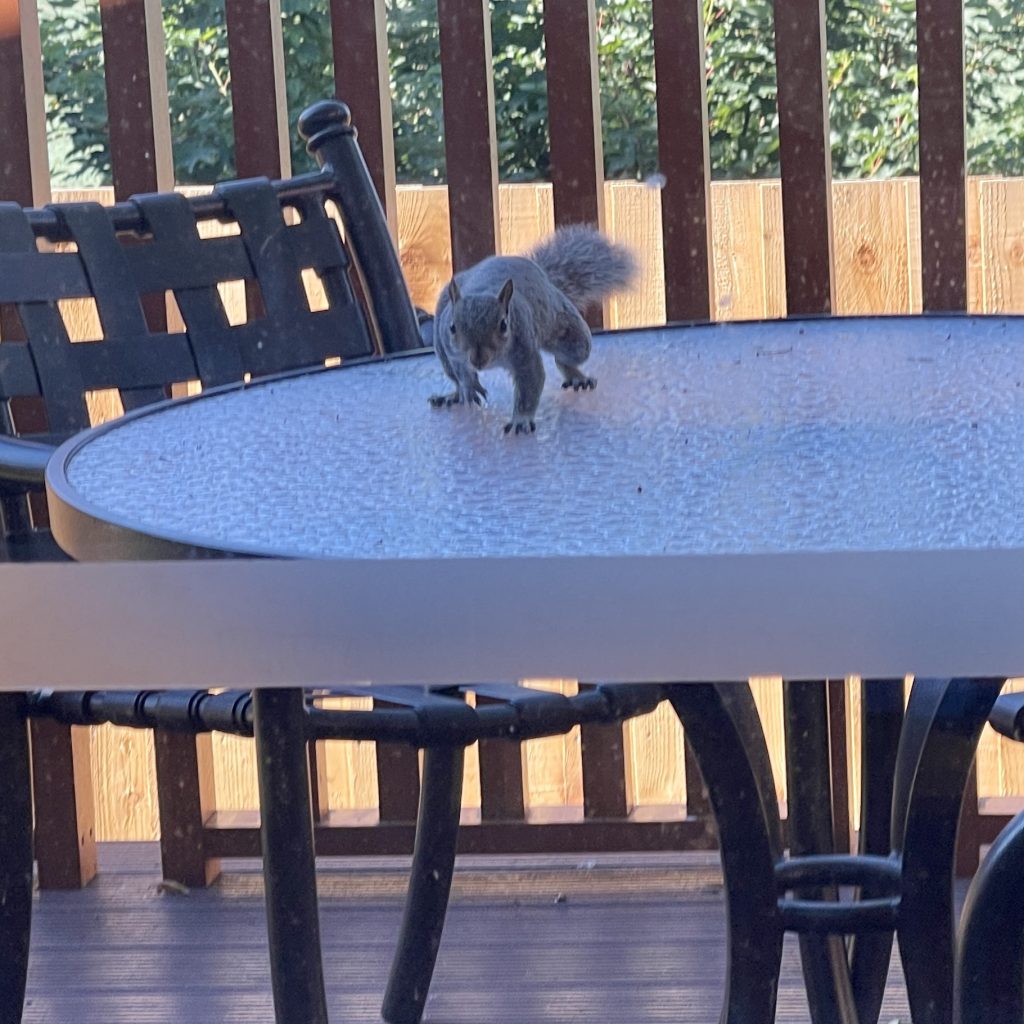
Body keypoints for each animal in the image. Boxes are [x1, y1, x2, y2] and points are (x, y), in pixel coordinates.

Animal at [428, 224, 634, 432]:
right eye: (452, 327)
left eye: (503, 325)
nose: (477, 360)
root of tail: (540, 272)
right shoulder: (452, 350)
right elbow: (461, 370)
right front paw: (470, 387)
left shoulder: (524, 350)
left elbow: (530, 383)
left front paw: (520, 421)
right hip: (441, 350)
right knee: (454, 377)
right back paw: (453, 396)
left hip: (572, 336)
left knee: (565, 358)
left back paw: (577, 378)